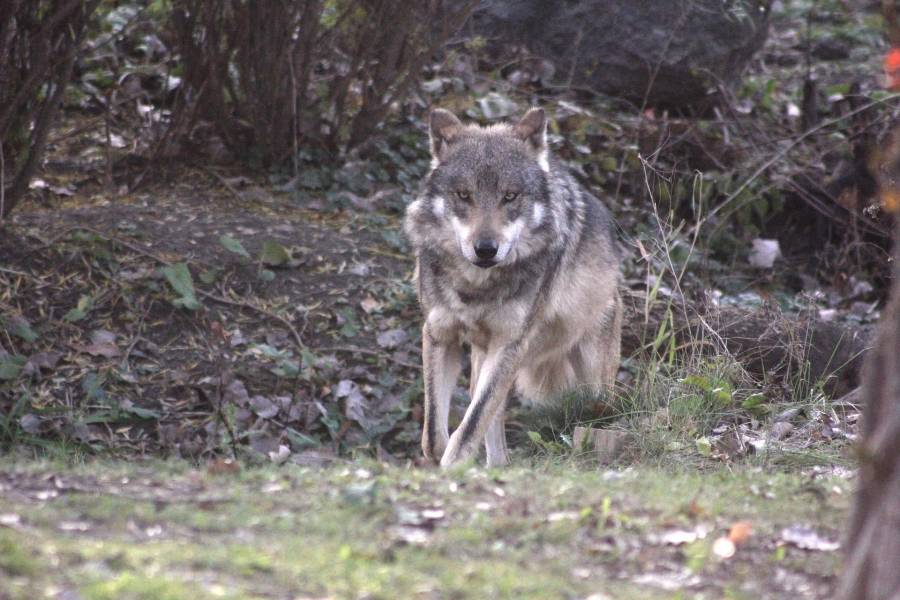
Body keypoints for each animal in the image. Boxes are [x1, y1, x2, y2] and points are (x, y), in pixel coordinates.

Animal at [404, 105, 624, 466]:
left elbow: (470, 425)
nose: (485, 249)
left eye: (510, 196)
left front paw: (452, 466)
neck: (476, 286)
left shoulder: (509, 344)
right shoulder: (438, 334)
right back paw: (496, 467)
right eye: (464, 195)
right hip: (485, 360)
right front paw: (441, 462)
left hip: (592, 383)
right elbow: (435, 433)